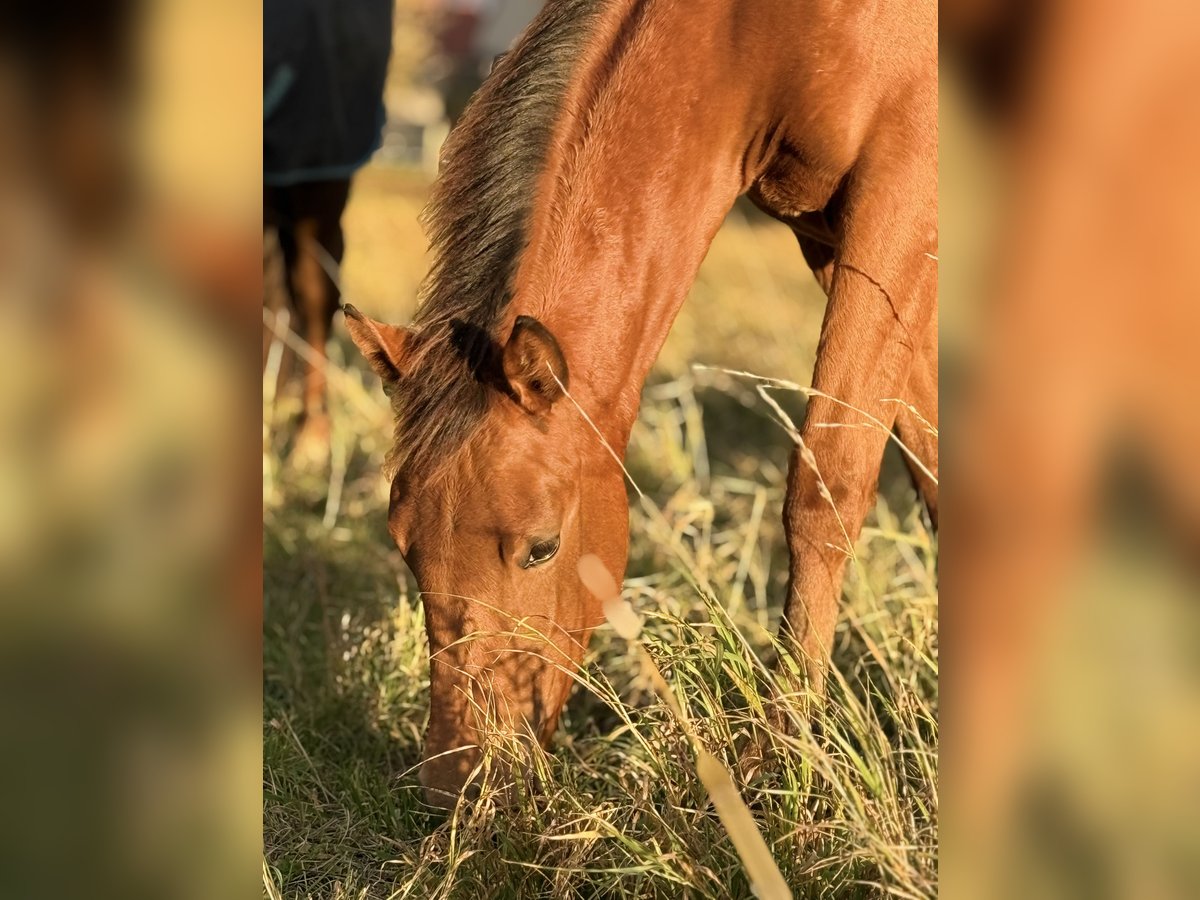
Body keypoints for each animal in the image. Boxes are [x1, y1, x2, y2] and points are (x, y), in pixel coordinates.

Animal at [346, 0, 937, 806]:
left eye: (542, 547)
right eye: (403, 544)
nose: (457, 787)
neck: (758, 33)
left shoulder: (899, 203)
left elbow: (826, 485)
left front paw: (780, 764)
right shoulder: (835, 234)